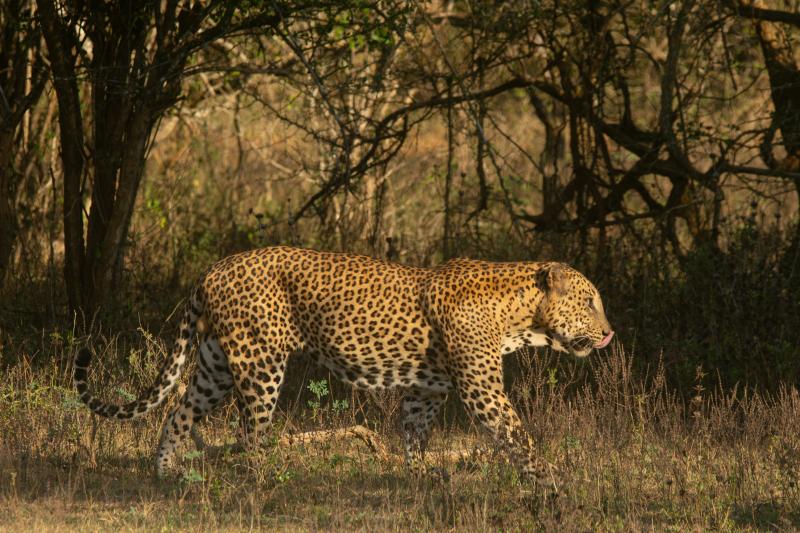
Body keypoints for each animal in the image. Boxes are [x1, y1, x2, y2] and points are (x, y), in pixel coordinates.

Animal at [74, 246, 614, 484]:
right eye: (590, 302)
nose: (609, 333)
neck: (522, 318)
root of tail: (214, 267)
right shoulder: (482, 388)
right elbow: (517, 433)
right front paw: (548, 481)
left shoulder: (428, 389)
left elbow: (414, 433)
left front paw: (417, 478)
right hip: (260, 362)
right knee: (249, 431)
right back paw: (267, 479)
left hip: (216, 365)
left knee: (178, 411)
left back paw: (166, 472)